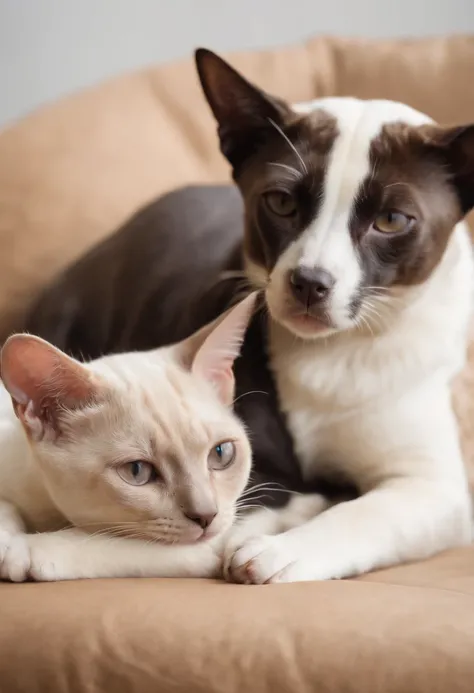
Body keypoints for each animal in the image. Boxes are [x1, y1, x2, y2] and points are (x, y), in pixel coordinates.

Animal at [0, 292, 256, 580]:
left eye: (221, 454)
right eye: (137, 471)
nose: (206, 515)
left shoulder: (208, 544)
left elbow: (111, 542)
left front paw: (23, 548)